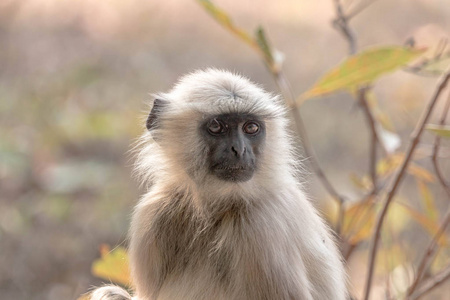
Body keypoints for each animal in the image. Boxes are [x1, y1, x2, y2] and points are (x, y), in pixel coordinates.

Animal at [89, 69, 348, 298]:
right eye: (216, 126)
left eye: (251, 127)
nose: (239, 149)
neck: (215, 209)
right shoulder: (155, 210)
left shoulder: (263, 223)